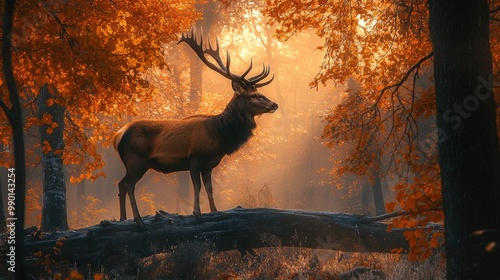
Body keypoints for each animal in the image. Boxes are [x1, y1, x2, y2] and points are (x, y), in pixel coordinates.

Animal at [112, 27, 278, 230]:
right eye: (254, 95)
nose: (275, 104)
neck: (219, 136)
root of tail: (118, 136)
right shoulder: (194, 157)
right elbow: (196, 187)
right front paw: (197, 214)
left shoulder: (209, 164)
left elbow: (209, 188)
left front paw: (215, 212)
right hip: (137, 160)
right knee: (128, 184)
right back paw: (139, 221)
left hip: (134, 163)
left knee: (121, 184)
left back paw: (123, 219)